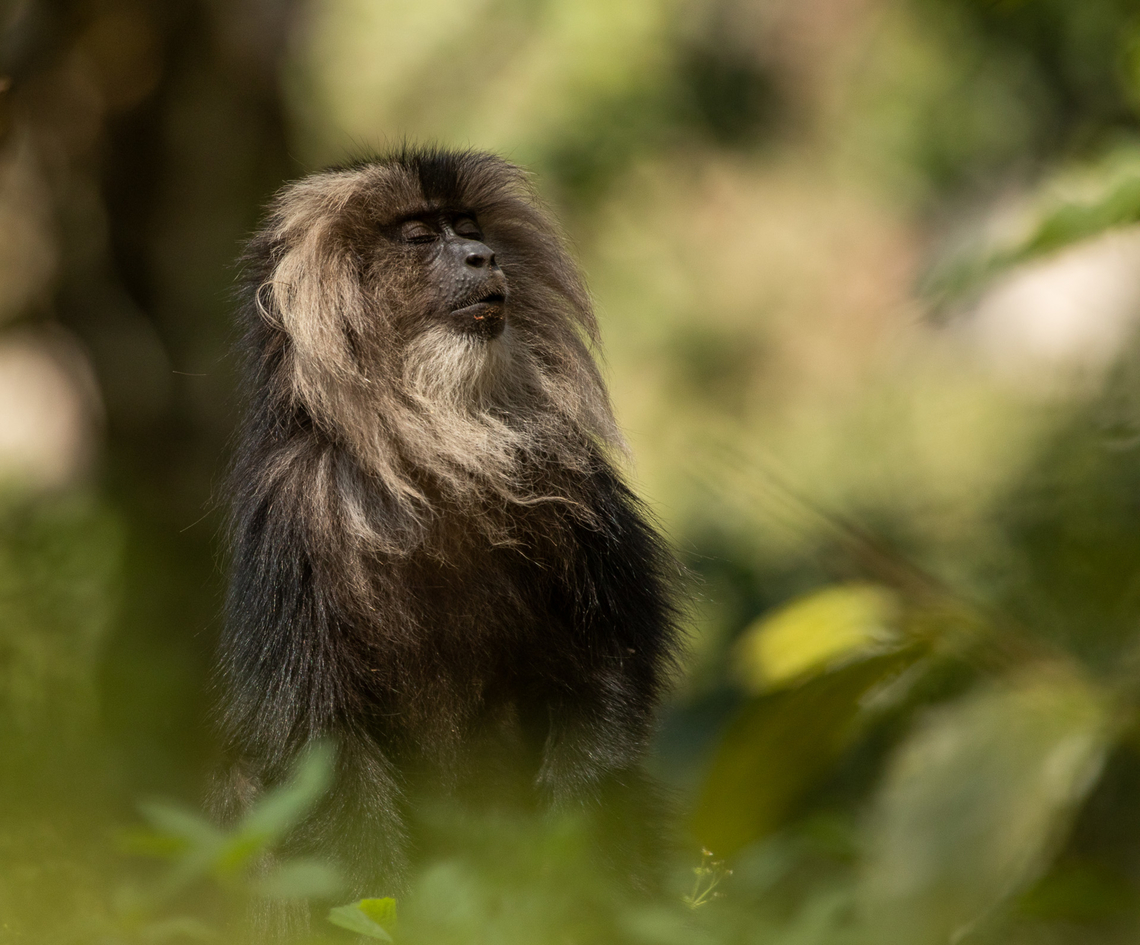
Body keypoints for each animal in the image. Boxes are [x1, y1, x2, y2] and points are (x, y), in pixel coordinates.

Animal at [212, 147, 681, 914]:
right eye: (417, 236)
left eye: (467, 227)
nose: (481, 257)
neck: (430, 449)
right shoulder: (296, 507)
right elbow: (318, 751)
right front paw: (381, 905)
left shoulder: (569, 480)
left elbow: (606, 666)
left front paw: (569, 863)